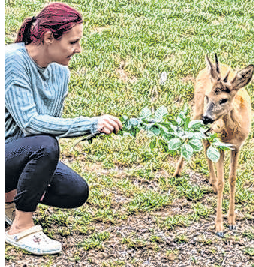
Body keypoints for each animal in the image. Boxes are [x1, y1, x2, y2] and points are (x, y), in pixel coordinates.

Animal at [174, 54, 253, 237]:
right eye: (208, 97)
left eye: (224, 99)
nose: (207, 117)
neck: (231, 133)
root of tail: (206, 69)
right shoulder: (220, 145)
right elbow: (223, 181)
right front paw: (219, 227)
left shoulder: (237, 146)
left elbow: (232, 179)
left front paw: (232, 222)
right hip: (196, 110)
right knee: (191, 134)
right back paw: (177, 172)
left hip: (207, 127)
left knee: (204, 142)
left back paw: (211, 180)